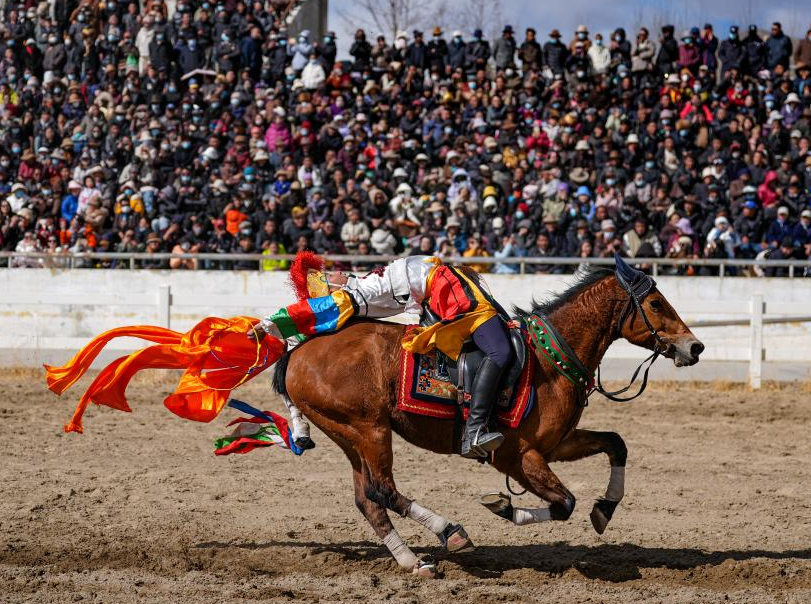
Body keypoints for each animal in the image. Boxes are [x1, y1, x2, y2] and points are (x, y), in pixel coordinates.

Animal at [274, 262, 704, 580]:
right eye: (656, 303)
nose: (695, 346)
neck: (549, 360)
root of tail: (299, 350)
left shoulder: (557, 445)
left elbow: (616, 444)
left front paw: (605, 508)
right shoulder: (517, 456)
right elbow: (564, 502)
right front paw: (503, 506)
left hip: (349, 436)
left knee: (369, 501)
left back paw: (413, 561)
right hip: (369, 430)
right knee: (384, 491)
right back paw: (450, 532)